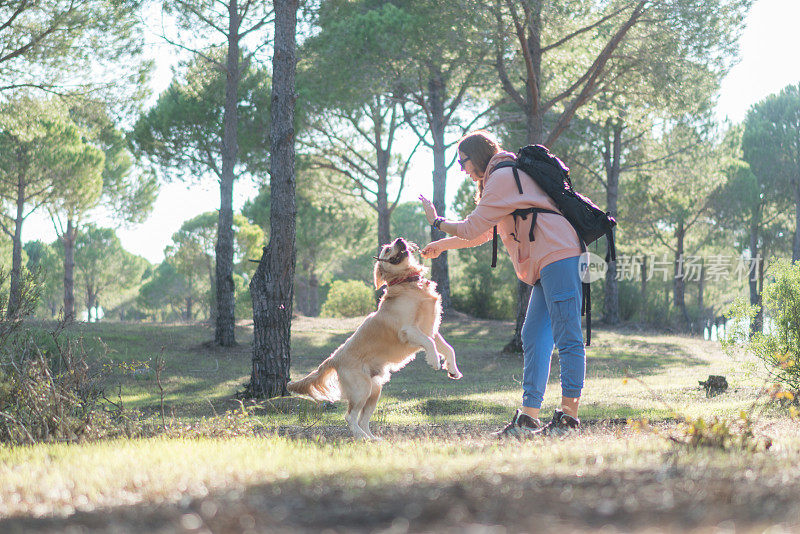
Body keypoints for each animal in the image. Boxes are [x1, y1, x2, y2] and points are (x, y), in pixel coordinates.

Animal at [288, 239, 462, 440]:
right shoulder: (408, 329)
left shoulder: (431, 329)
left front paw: (453, 370)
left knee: (363, 419)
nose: (400, 240)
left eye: (394, 243)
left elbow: (449, 348)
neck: (408, 283)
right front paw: (434, 360)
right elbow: (429, 343)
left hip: (375, 390)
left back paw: (373, 438)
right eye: (387, 250)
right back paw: (361, 437)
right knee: (350, 416)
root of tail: (334, 358)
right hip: (361, 388)